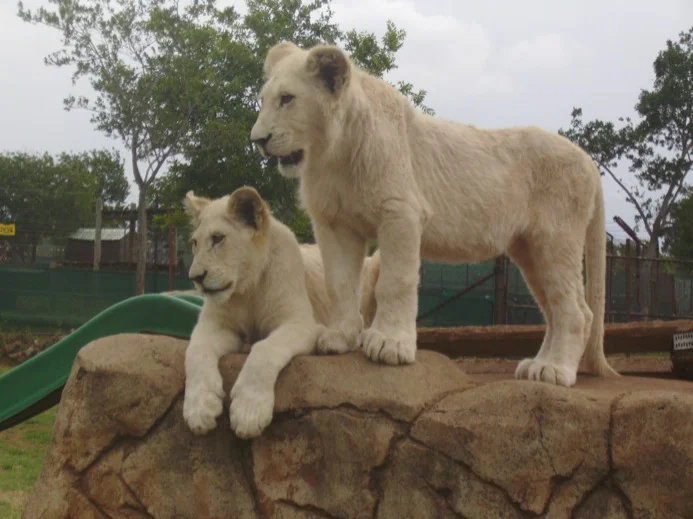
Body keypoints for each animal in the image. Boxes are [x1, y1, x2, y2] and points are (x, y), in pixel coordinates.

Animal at [182, 186, 380, 438]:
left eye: (218, 238)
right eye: (195, 243)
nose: (195, 278)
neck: (248, 289)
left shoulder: (299, 322)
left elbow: (264, 349)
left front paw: (249, 412)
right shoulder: (215, 324)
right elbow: (195, 351)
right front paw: (200, 409)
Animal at [250, 41, 619, 387]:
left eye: (287, 99)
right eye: (263, 100)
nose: (258, 140)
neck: (331, 153)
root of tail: (587, 160)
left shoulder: (400, 211)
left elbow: (394, 281)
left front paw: (388, 344)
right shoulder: (335, 222)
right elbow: (339, 283)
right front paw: (339, 337)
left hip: (555, 239)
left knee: (576, 311)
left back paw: (554, 371)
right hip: (528, 248)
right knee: (558, 309)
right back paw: (537, 366)